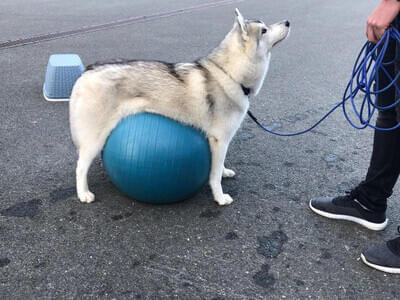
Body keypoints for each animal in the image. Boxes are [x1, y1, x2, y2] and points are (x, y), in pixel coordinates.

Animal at [69, 9, 290, 206]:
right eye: (264, 30)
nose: (288, 22)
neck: (230, 74)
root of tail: (87, 72)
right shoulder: (220, 139)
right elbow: (214, 176)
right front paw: (219, 197)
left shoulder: (219, 142)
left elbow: (219, 167)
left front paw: (225, 171)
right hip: (94, 139)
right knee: (80, 167)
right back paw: (84, 194)